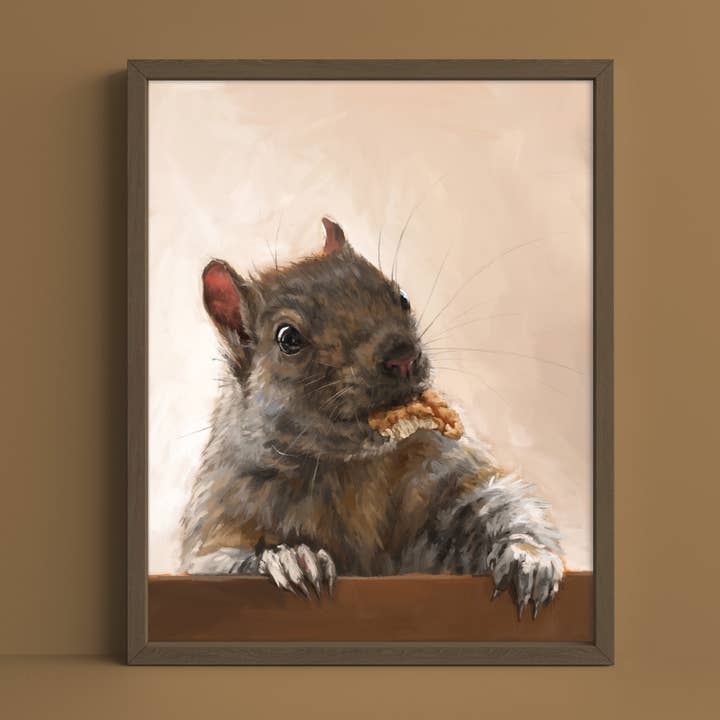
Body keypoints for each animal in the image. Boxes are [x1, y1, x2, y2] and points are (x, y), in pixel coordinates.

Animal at [181, 217, 564, 619]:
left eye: (402, 297)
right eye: (288, 338)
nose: (403, 356)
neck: (351, 467)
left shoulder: (443, 469)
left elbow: (496, 500)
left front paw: (528, 558)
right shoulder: (222, 514)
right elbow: (217, 560)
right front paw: (289, 558)